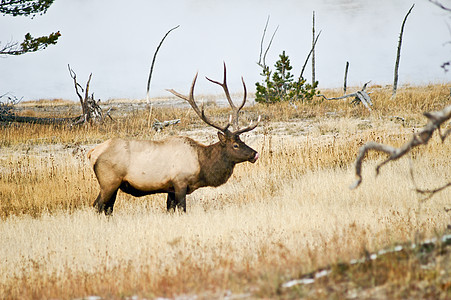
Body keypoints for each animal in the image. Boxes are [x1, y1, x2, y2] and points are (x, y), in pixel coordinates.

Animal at [87, 64, 262, 216]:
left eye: (242, 141)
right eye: (235, 145)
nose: (255, 154)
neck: (202, 164)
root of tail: (92, 152)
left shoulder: (170, 189)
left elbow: (170, 210)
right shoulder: (180, 183)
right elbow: (182, 209)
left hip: (114, 185)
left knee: (107, 209)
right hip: (109, 181)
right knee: (97, 206)